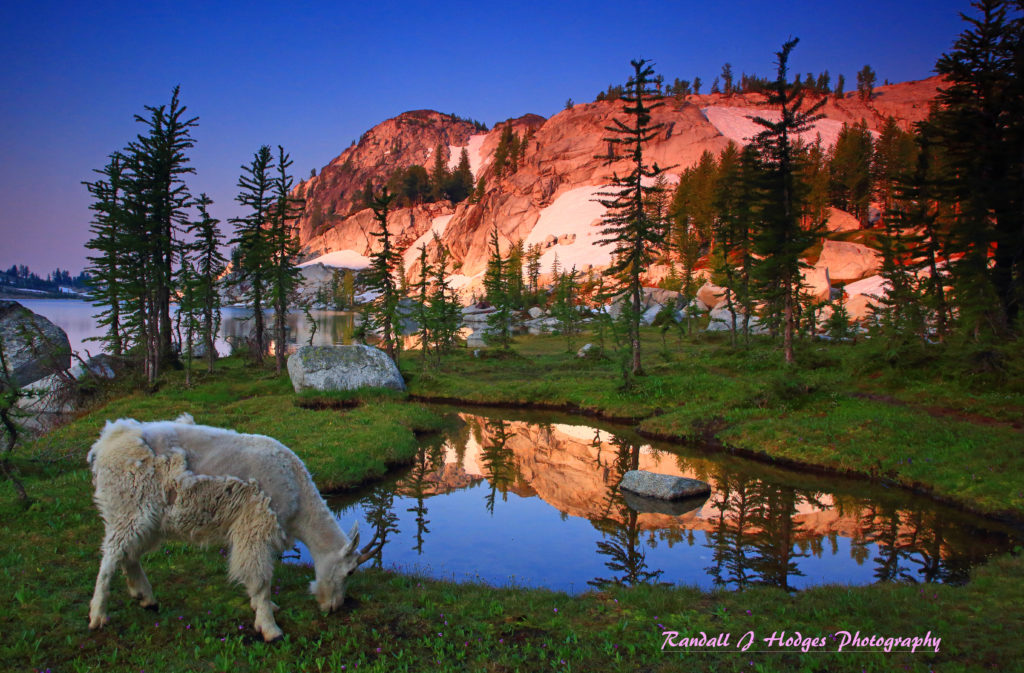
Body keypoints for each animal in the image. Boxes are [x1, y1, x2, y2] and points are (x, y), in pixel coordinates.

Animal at [86, 411, 382, 639]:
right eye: (350, 571)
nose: (333, 607)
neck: (297, 494)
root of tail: (104, 445)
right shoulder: (255, 526)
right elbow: (261, 577)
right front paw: (270, 628)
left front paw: (267, 608)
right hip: (128, 509)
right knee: (110, 557)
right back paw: (98, 616)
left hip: (148, 520)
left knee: (129, 555)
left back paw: (146, 598)